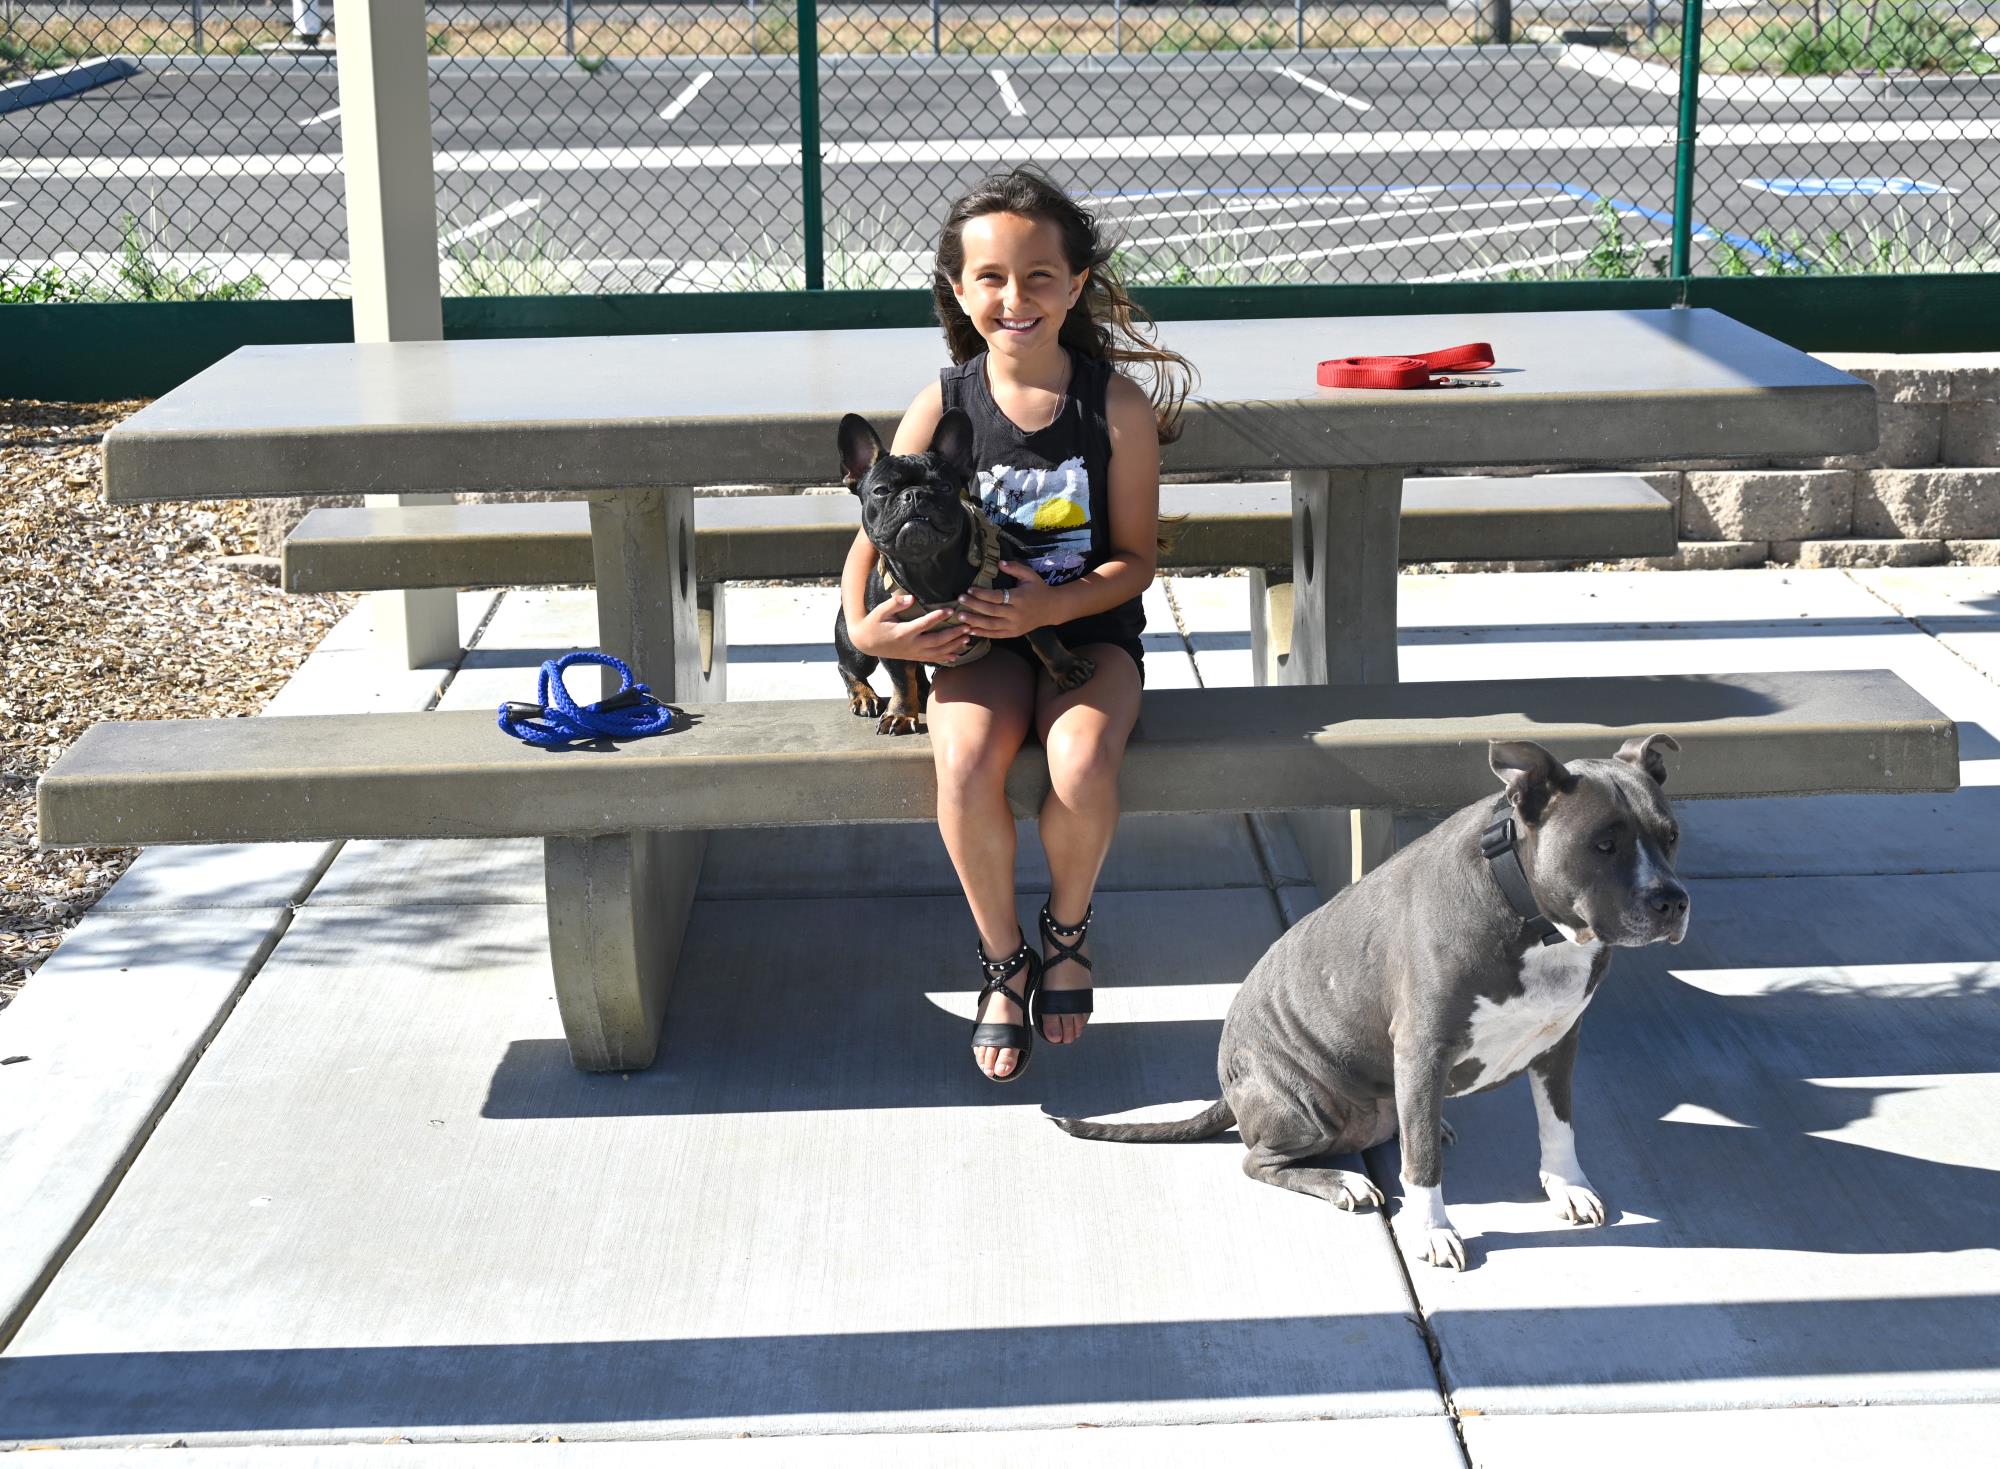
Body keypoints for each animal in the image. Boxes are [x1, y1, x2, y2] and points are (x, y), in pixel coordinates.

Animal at [1056, 740, 1696, 1272]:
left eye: (1671, 836)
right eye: (1604, 844)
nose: (1672, 901)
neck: (1536, 925)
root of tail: (1230, 1091)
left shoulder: (1560, 1040)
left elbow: (1558, 1125)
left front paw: (1566, 1186)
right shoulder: (1422, 1050)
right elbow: (1422, 1168)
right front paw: (1433, 1231)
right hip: (1305, 1103)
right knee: (1259, 1161)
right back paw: (1343, 1181)